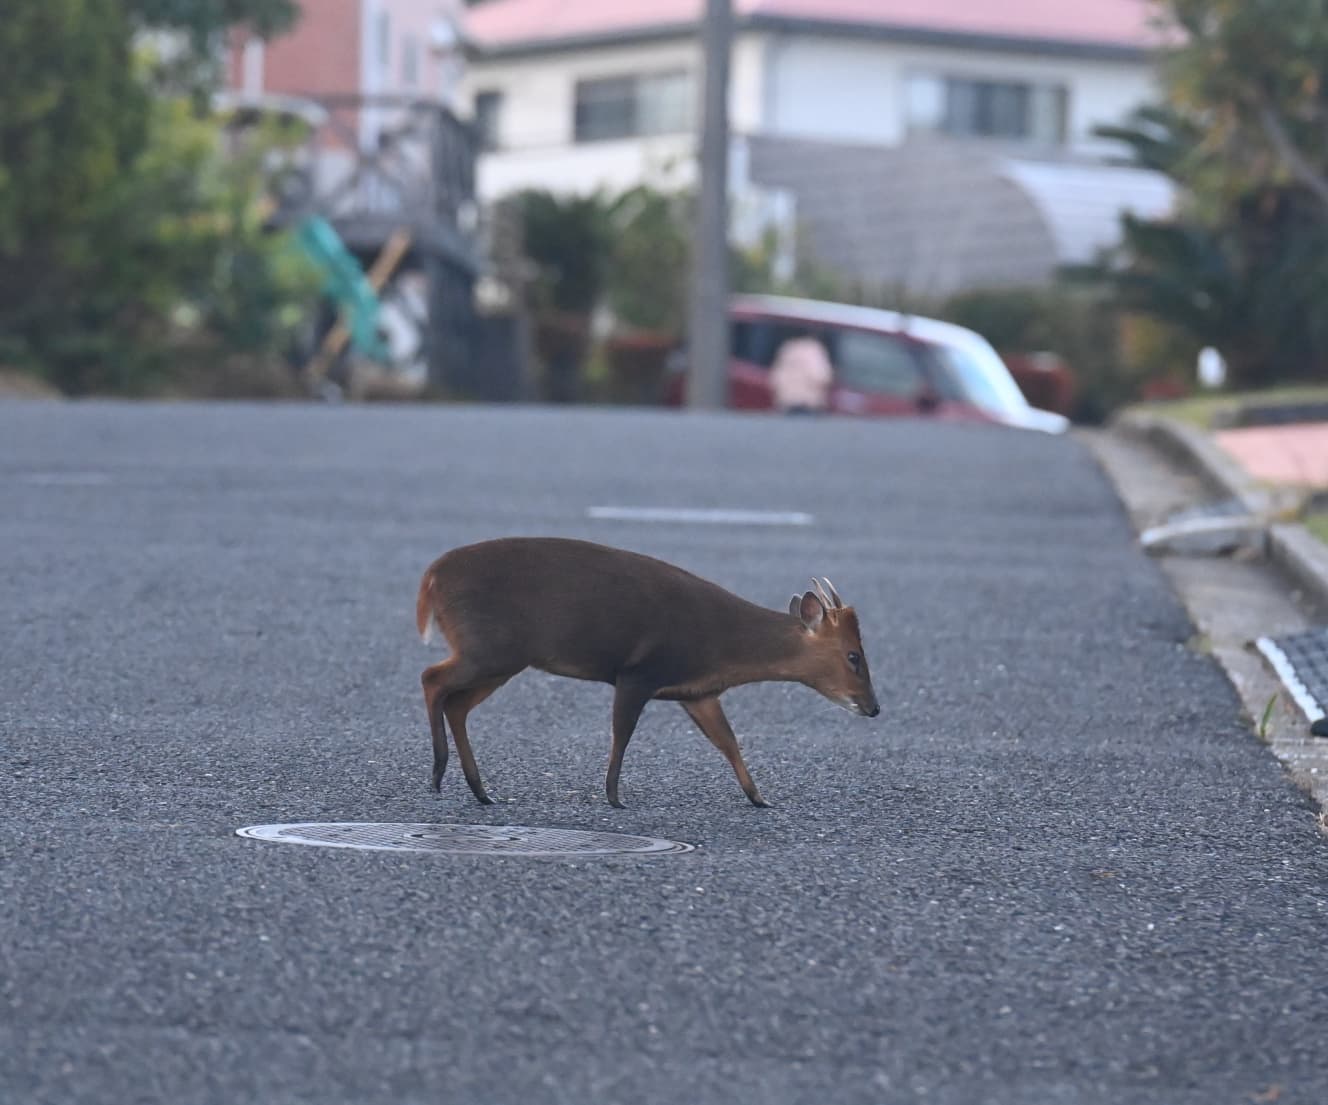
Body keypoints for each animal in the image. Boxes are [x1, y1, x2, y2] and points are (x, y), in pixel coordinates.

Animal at [409, 536, 876, 807]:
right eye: (854, 656)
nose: (873, 708)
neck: (721, 645)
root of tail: (431, 576)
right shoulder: (639, 672)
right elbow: (623, 731)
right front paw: (614, 796)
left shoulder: (698, 692)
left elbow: (727, 741)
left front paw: (759, 797)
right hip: (489, 647)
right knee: (432, 678)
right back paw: (438, 773)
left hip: (500, 657)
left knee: (457, 703)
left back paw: (480, 789)